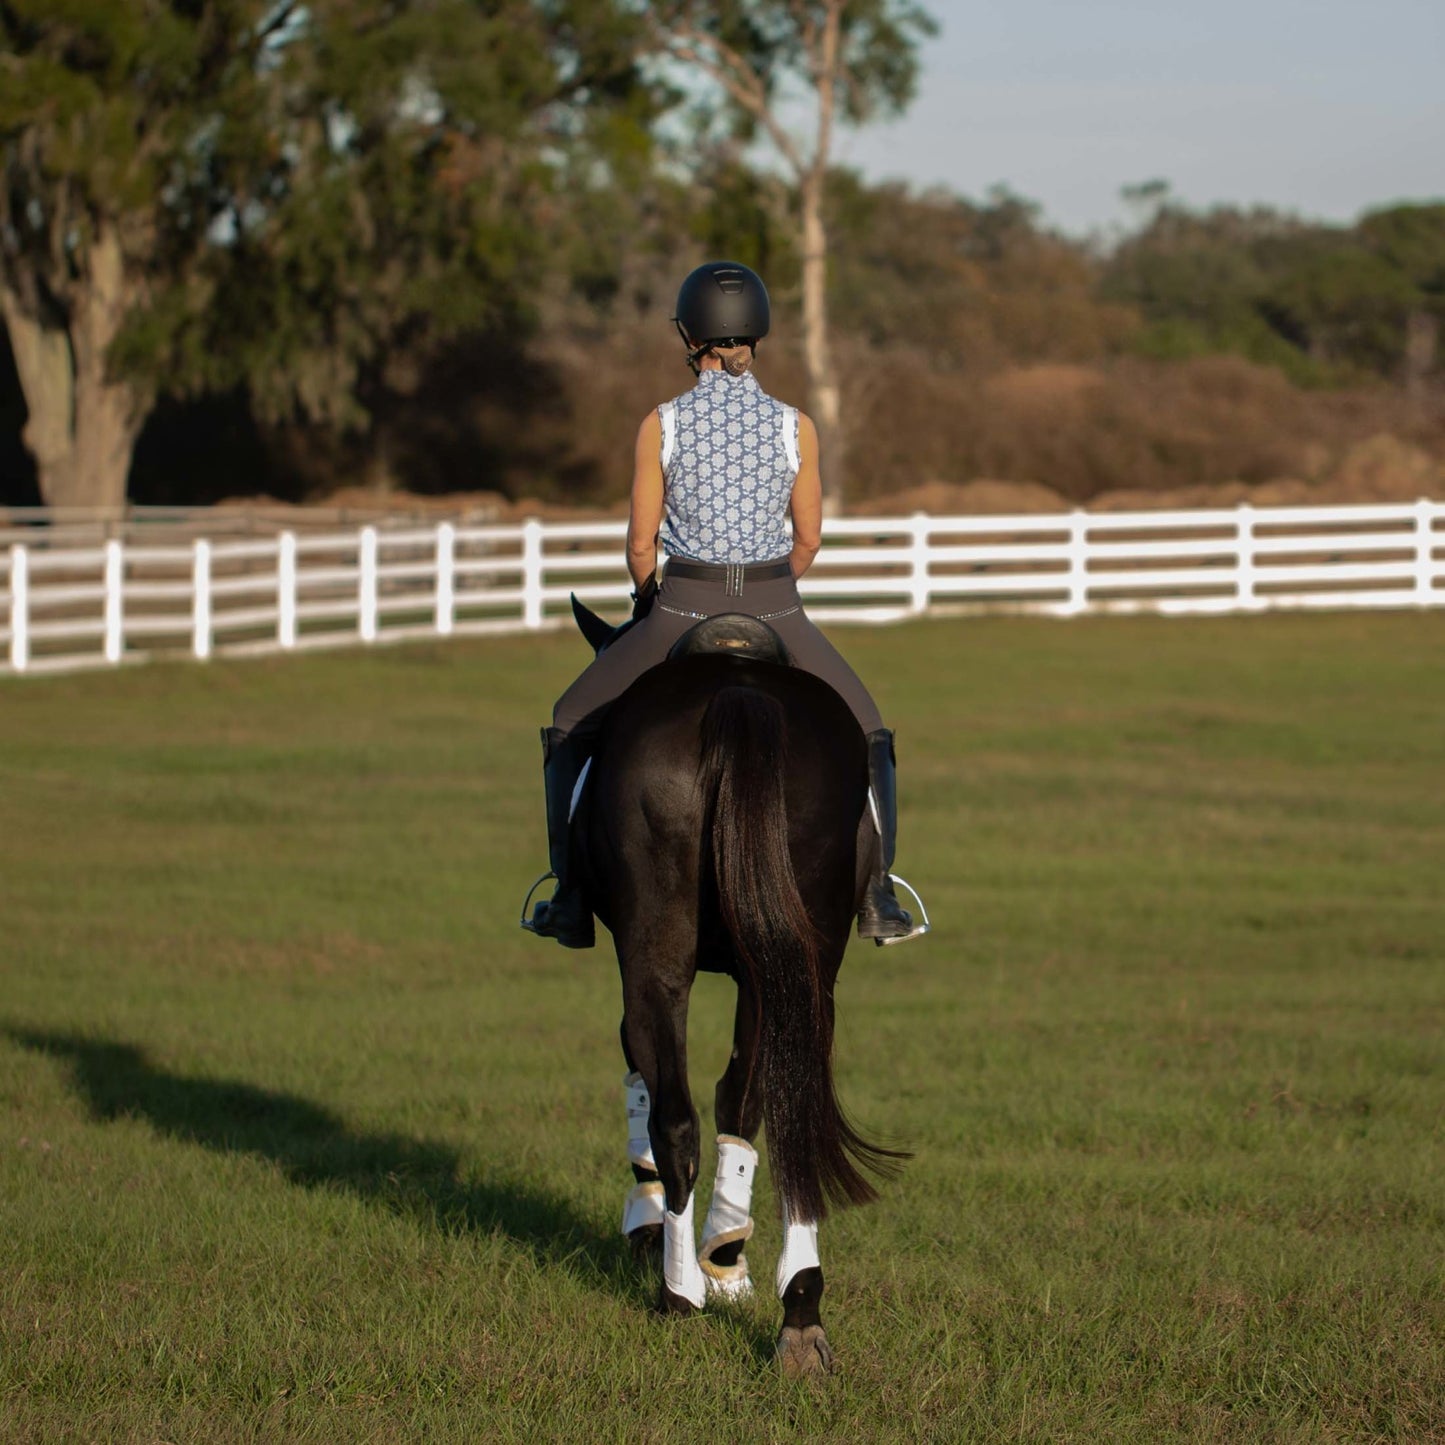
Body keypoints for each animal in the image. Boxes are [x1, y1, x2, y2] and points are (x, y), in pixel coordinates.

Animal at [563, 604, 901, 1381]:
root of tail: (737, 694)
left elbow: (648, 1079)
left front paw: (666, 1233)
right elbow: (743, 1100)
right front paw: (726, 1254)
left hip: (657, 953)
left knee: (675, 1118)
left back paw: (677, 1292)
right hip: (804, 964)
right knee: (790, 1110)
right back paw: (799, 1313)